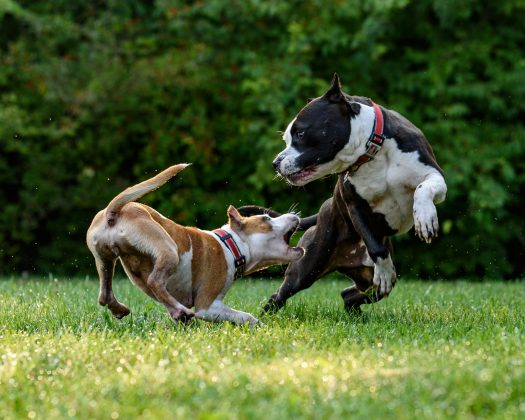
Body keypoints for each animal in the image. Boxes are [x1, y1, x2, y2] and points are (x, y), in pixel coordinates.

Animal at [84, 163, 300, 324]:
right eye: (266, 219)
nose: (295, 215)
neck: (231, 245)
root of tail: (113, 212)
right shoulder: (208, 306)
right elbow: (245, 316)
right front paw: (260, 326)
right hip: (168, 248)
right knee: (154, 281)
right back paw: (181, 309)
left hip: (105, 259)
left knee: (105, 295)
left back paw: (123, 309)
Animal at [239, 74, 444, 312]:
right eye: (287, 139)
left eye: (300, 133)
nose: (275, 163)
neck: (372, 151)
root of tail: (323, 210)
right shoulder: (354, 205)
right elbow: (376, 248)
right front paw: (384, 271)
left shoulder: (434, 175)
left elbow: (423, 188)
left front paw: (425, 218)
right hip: (307, 267)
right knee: (280, 294)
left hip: (366, 280)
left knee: (351, 294)